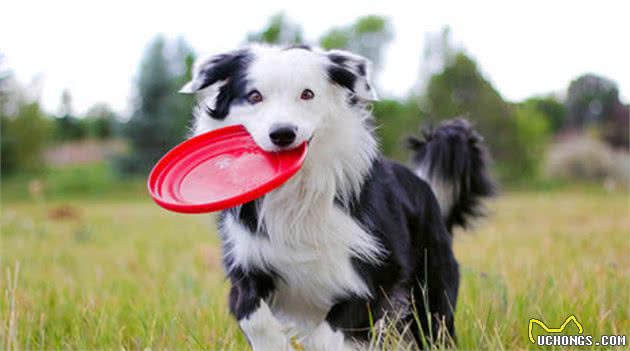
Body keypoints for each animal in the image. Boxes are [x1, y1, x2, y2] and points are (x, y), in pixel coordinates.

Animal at [180, 45, 496, 350]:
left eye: (307, 93)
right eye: (254, 96)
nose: (282, 133)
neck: (298, 193)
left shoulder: (379, 273)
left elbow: (329, 333)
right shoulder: (248, 262)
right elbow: (253, 314)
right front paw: (275, 343)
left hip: (431, 288)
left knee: (435, 328)